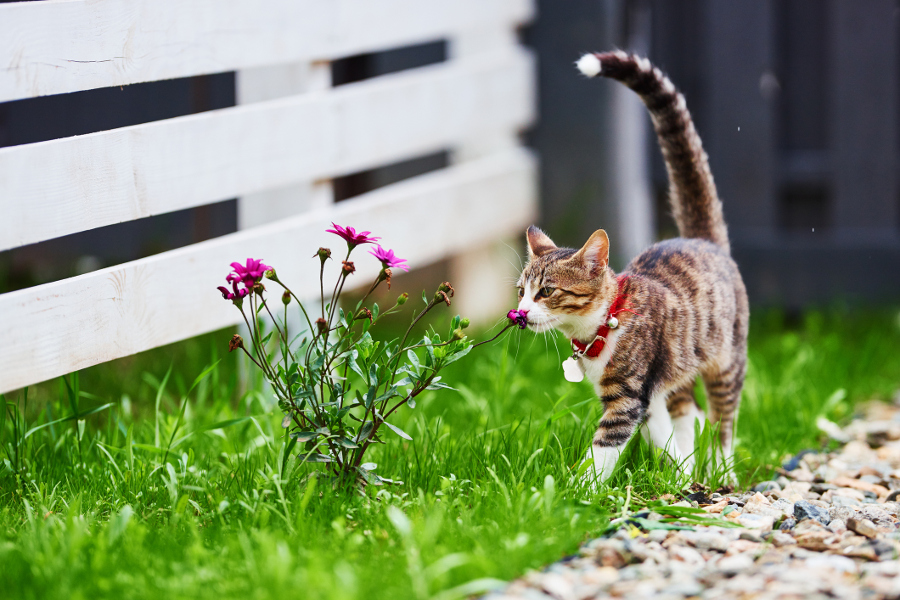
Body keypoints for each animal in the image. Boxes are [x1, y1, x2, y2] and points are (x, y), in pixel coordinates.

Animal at [516, 50, 748, 482]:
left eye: (547, 291)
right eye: (521, 291)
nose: (520, 312)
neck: (598, 329)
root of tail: (703, 240)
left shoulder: (629, 394)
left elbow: (604, 448)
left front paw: (575, 490)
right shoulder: (647, 394)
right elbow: (661, 435)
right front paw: (678, 474)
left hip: (727, 361)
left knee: (723, 421)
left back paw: (722, 472)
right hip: (678, 363)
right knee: (688, 410)